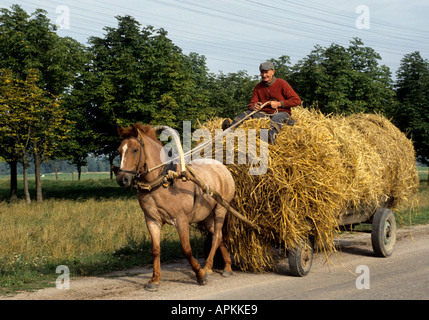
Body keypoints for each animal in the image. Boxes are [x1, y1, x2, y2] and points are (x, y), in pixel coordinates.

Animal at [113, 122, 234, 290]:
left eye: (135, 150)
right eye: (119, 150)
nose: (122, 179)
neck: (161, 180)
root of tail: (222, 168)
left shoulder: (181, 219)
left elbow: (186, 249)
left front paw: (200, 275)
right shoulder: (152, 220)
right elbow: (155, 250)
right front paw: (155, 279)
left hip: (221, 209)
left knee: (216, 237)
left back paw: (207, 268)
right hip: (207, 216)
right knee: (220, 236)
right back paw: (227, 267)